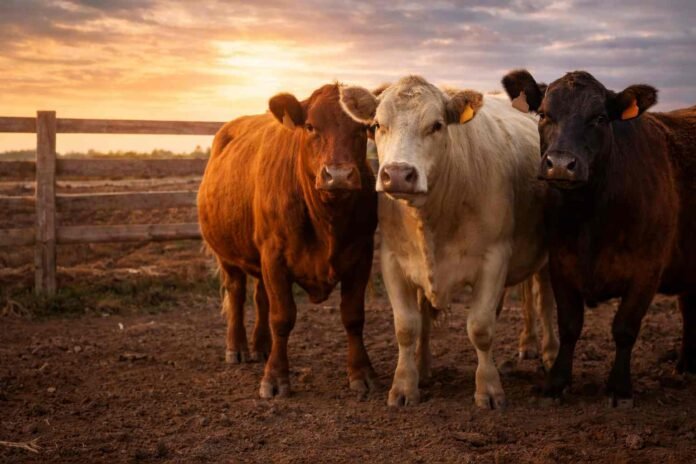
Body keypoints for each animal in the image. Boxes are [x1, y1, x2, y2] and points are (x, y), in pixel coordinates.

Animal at [197, 84, 378, 399]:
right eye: (310, 126)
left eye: (360, 129)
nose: (339, 175)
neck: (326, 219)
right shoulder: (274, 256)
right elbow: (282, 317)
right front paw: (275, 377)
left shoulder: (362, 254)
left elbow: (353, 316)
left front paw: (362, 373)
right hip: (227, 254)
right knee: (237, 293)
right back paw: (237, 348)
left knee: (260, 297)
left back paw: (261, 347)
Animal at [339, 76, 558, 408]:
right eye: (377, 125)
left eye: (437, 125)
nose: (397, 175)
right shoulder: (392, 259)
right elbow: (407, 326)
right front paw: (405, 386)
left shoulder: (494, 258)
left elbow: (480, 327)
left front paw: (489, 389)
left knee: (543, 297)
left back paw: (547, 352)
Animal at [502, 69, 696, 407]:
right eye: (544, 114)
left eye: (600, 118)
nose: (560, 165)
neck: (590, 215)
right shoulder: (561, 263)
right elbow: (569, 325)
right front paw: (556, 383)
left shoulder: (648, 269)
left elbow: (625, 328)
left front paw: (619, 387)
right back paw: (684, 365)